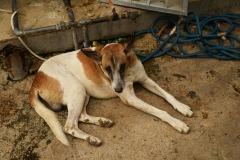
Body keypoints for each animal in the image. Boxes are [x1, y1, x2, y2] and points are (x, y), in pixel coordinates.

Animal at [29, 36, 193, 146]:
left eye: (122, 65)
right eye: (106, 69)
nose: (118, 90)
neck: (128, 72)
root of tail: (36, 79)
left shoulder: (145, 80)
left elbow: (167, 95)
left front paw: (182, 107)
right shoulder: (131, 99)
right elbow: (160, 111)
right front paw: (177, 122)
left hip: (84, 92)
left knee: (80, 117)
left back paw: (102, 121)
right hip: (77, 89)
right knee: (69, 126)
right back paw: (91, 138)